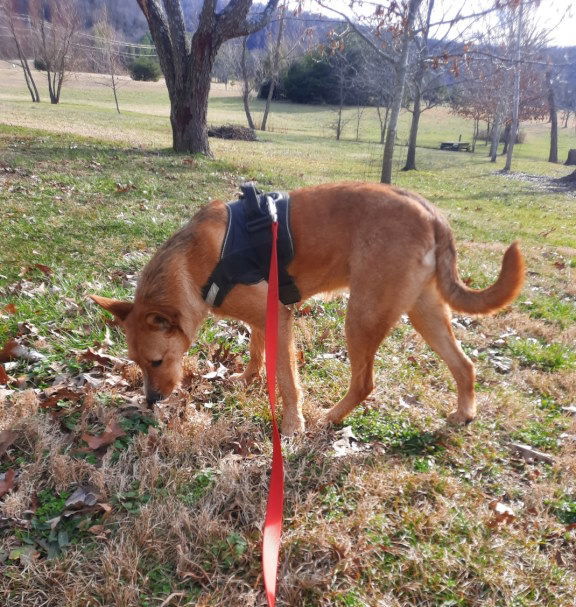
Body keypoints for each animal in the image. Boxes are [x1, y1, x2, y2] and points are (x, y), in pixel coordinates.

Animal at [89, 183, 520, 434]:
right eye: (137, 363)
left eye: (157, 362)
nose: (151, 402)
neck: (191, 263)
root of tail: (432, 213)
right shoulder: (263, 318)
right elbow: (256, 352)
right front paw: (248, 378)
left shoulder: (278, 318)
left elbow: (287, 381)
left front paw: (292, 424)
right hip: (425, 313)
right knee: (465, 366)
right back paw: (464, 414)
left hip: (361, 317)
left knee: (364, 383)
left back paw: (330, 417)